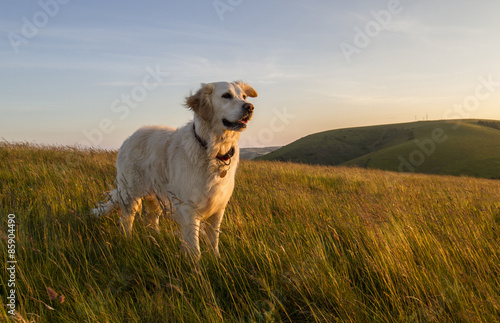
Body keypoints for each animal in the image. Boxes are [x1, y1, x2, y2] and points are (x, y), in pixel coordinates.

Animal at [92, 81, 260, 258]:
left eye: (244, 96)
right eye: (226, 95)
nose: (250, 107)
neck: (213, 150)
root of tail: (130, 137)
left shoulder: (218, 209)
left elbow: (214, 242)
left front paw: (216, 260)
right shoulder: (188, 209)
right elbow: (194, 249)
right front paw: (196, 265)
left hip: (155, 196)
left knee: (151, 220)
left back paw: (156, 240)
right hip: (131, 193)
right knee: (126, 220)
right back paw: (128, 241)